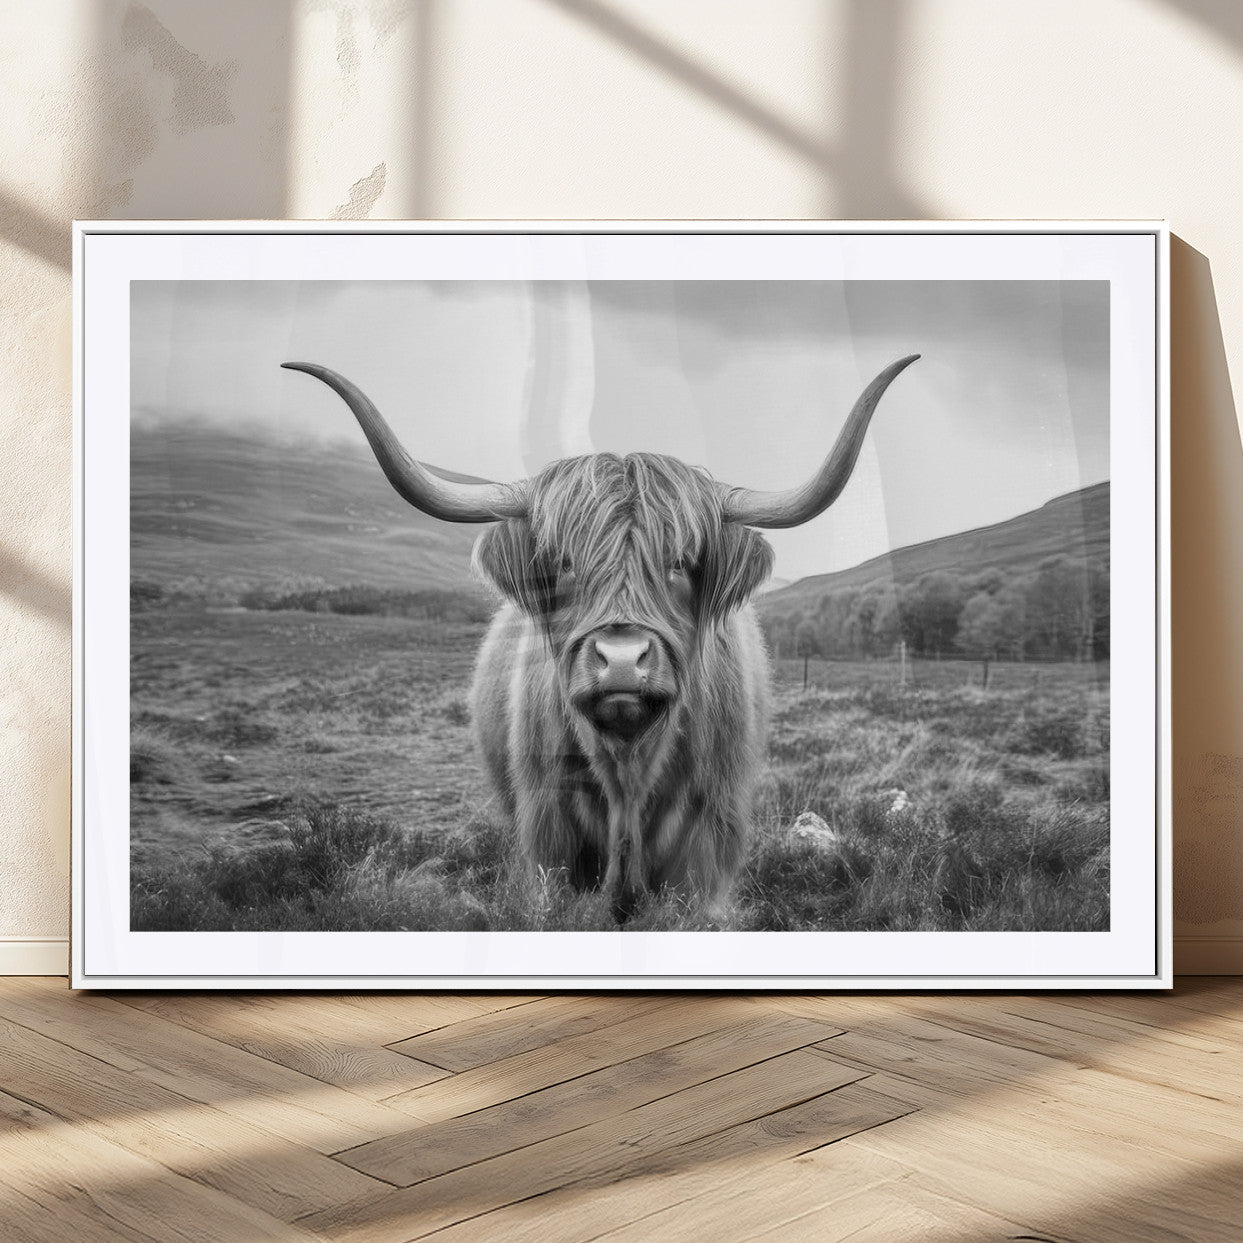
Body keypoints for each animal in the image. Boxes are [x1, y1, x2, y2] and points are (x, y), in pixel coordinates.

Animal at [282, 354, 919, 920]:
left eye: (680, 563)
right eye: (564, 563)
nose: (621, 660)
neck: (628, 768)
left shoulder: (707, 833)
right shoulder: (550, 828)